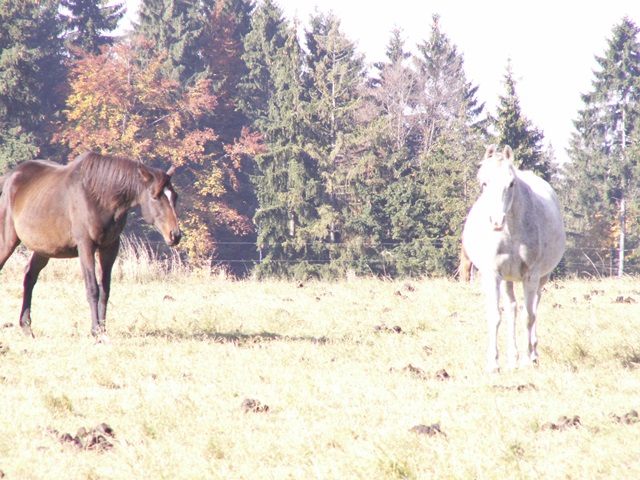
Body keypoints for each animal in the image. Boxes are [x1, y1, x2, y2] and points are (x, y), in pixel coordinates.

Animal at [0, 151, 181, 341]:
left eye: (175, 196)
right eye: (155, 196)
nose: (175, 235)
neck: (98, 197)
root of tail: (10, 178)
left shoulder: (110, 248)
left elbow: (105, 290)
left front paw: (103, 329)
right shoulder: (86, 245)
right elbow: (93, 288)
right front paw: (95, 330)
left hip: (44, 248)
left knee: (30, 276)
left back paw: (27, 328)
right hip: (7, 241)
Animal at [462, 145, 566, 372]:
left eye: (511, 183)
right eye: (484, 182)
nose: (496, 221)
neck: (510, 231)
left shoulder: (531, 275)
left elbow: (529, 316)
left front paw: (528, 359)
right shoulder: (493, 274)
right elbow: (496, 315)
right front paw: (493, 364)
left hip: (541, 278)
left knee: (534, 307)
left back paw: (532, 355)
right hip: (507, 279)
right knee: (511, 310)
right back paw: (512, 358)